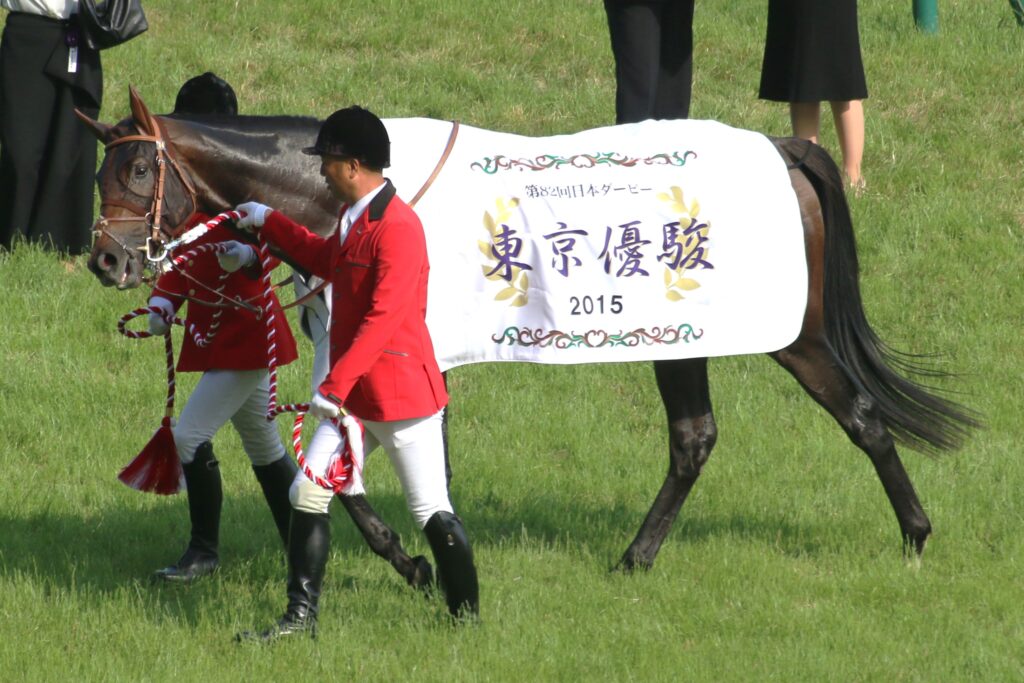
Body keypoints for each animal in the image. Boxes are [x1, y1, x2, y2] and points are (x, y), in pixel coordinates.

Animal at [78, 88, 977, 585]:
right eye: (100, 171)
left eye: (137, 169)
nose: (106, 259)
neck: (348, 198)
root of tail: (785, 150)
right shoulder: (354, 347)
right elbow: (336, 461)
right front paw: (413, 556)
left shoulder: (401, 353)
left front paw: (418, 558)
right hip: (683, 341)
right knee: (700, 435)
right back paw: (637, 557)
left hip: (791, 335)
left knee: (858, 416)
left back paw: (915, 536)